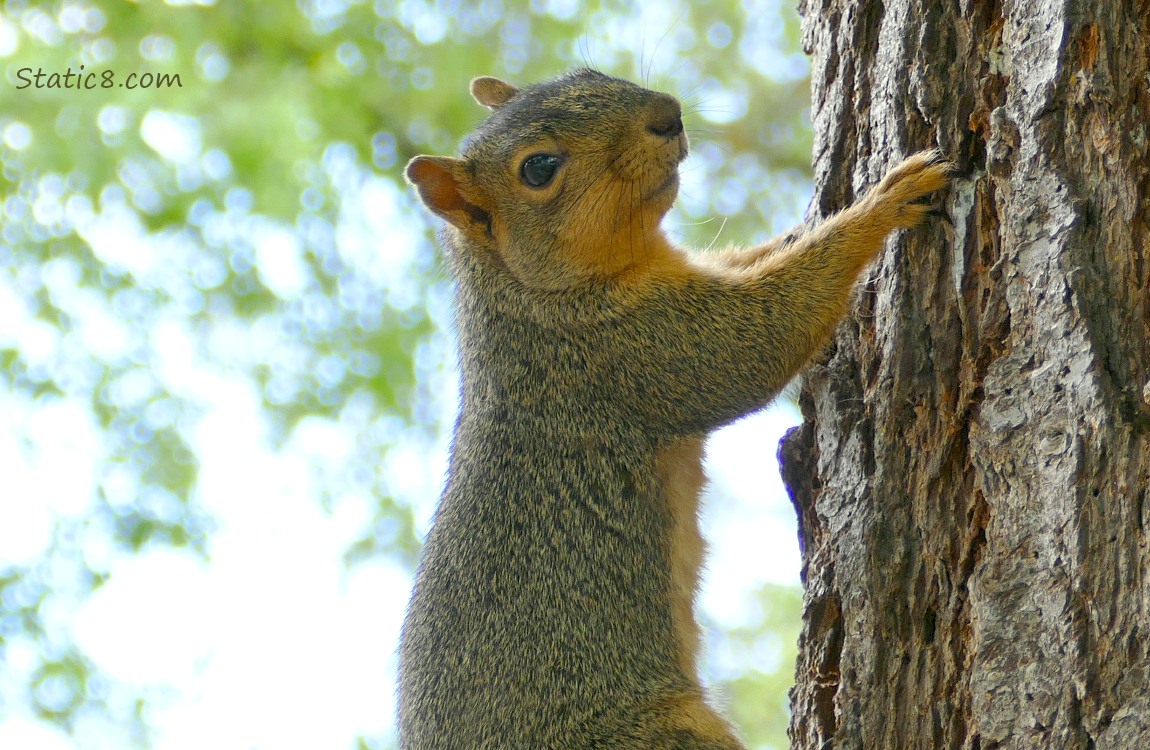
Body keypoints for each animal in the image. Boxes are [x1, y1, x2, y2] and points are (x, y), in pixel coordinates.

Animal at [399, 68, 952, 749]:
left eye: (584, 74)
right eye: (539, 168)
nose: (667, 114)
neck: (525, 296)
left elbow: (749, 261)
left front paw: (807, 223)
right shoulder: (625, 350)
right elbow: (755, 339)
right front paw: (885, 201)